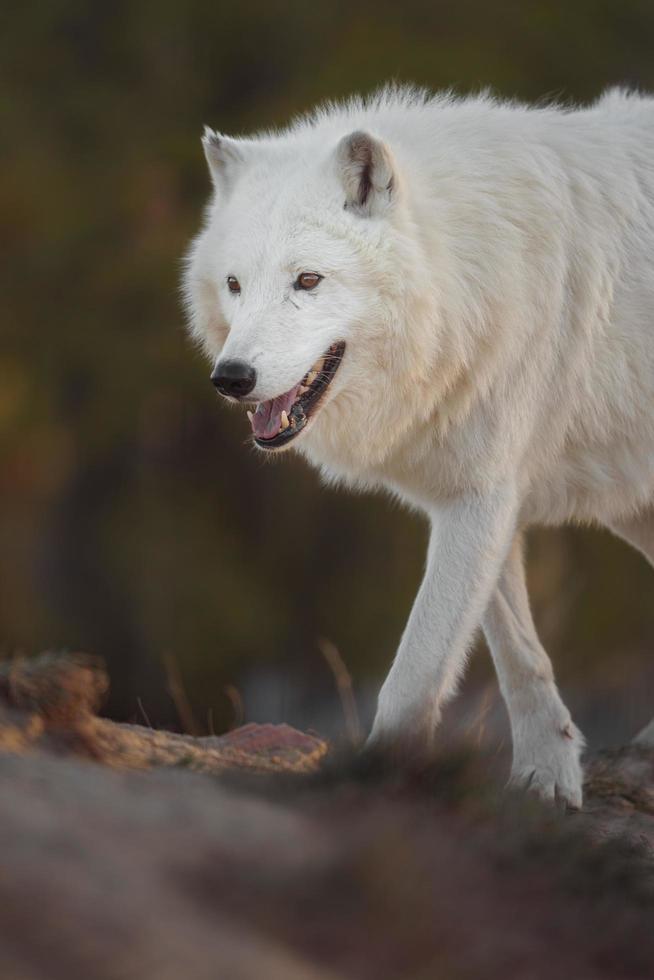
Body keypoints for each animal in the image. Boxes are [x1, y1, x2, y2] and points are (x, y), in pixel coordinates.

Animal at [183, 86, 654, 804]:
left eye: (308, 281)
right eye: (235, 285)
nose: (231, 378)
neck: (465, 274)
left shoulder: (483, 497)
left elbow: (414, 676)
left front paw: (378, 780)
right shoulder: (476, 494)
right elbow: (516, 652)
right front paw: (548, 773)